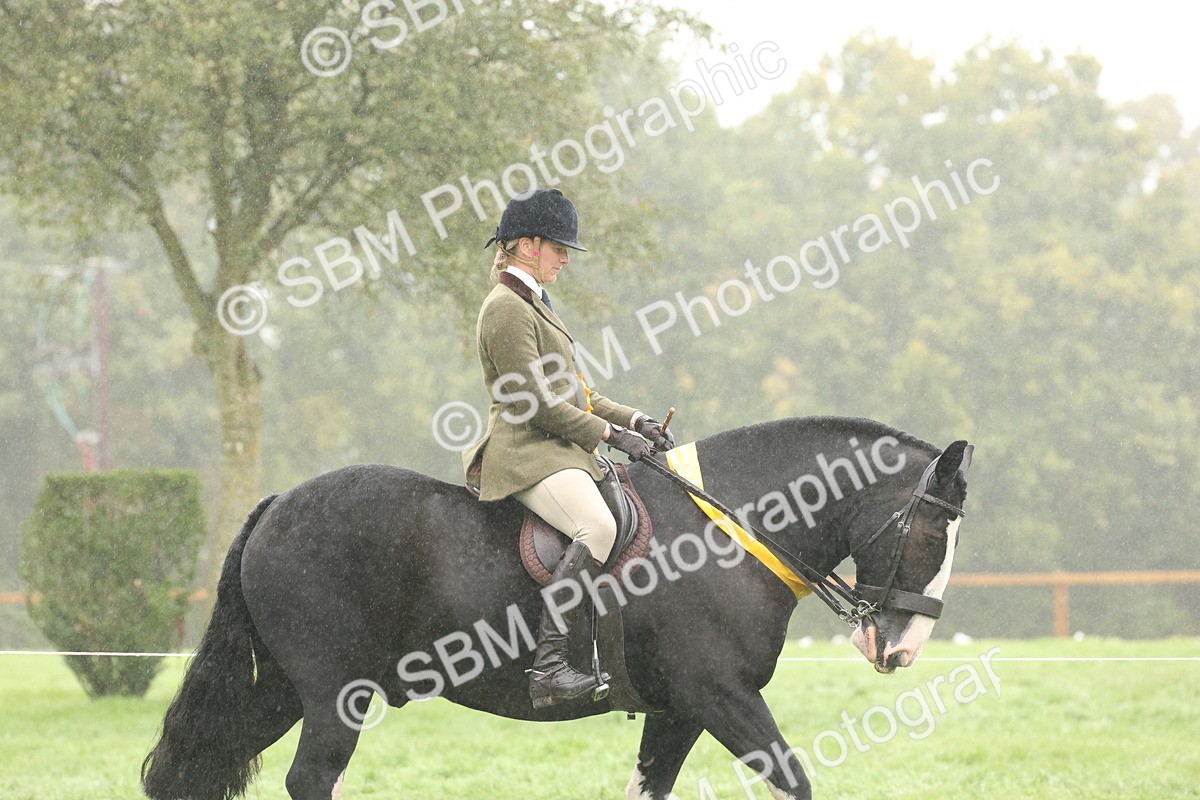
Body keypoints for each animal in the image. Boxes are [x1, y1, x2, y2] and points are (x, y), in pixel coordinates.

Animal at [141, 416, 972, 800]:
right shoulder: (721, 697)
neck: (728, 528)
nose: (902, 647)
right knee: (312, 779)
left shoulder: (680, 711)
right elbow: (793, 780)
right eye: (935, 529)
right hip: (332, 697)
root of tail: (279, 503)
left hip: (281, 690)